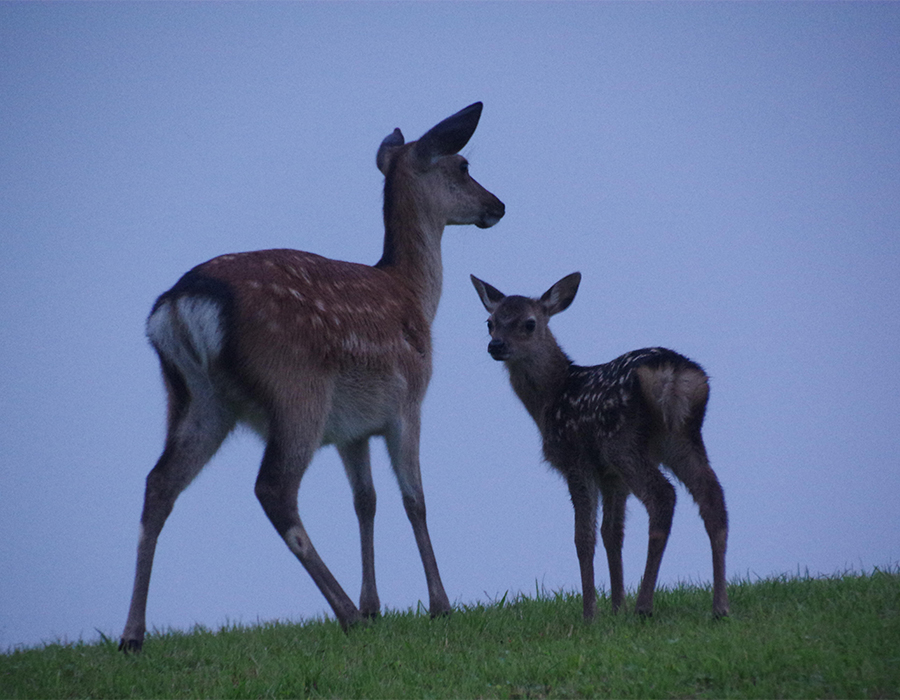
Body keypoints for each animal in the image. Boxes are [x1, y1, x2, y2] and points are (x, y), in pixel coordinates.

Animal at [118, 102, 506, 652]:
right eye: (463, 165)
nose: (498, 205)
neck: (414, 296)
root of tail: (179, 305)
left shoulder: (352, 429)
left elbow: (366, 501)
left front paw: (377, 603)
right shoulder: (407, 401)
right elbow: (415, 500)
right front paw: (439, 605)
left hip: (196, 398)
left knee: (158, 484)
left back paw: (132, 635)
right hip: (296, 389)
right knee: (273, 489)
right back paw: (346, 613)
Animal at [474, 274, 728, 624]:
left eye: (529, 323)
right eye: (490, 322)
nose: (496, 345)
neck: (549, 399)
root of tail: (674, 373)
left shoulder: (575, 458)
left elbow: (584, 537)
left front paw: (590, 613)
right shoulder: (610, 476)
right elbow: (612, 533)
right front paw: (616, 606)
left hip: (621, 441)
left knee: (663, 495)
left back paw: (645, 605)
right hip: (681, 438)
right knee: (712, 495)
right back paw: (719, 607)